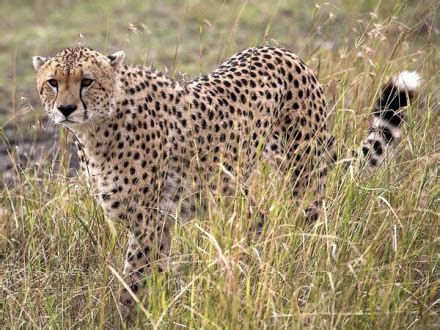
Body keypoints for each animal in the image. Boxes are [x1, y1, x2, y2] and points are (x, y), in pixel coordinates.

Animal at [32, 46, 422, 318]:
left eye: (87, 81)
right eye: (53, 83)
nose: (65, 109)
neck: (98, 127)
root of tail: (286, 52)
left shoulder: (147, 222)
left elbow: (134, 281)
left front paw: (130, 317)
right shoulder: (158, 221)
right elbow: (154, 274)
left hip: (304, 174)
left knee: (311, 225)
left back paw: (303, 272)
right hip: (231, 186)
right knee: (259, 219)